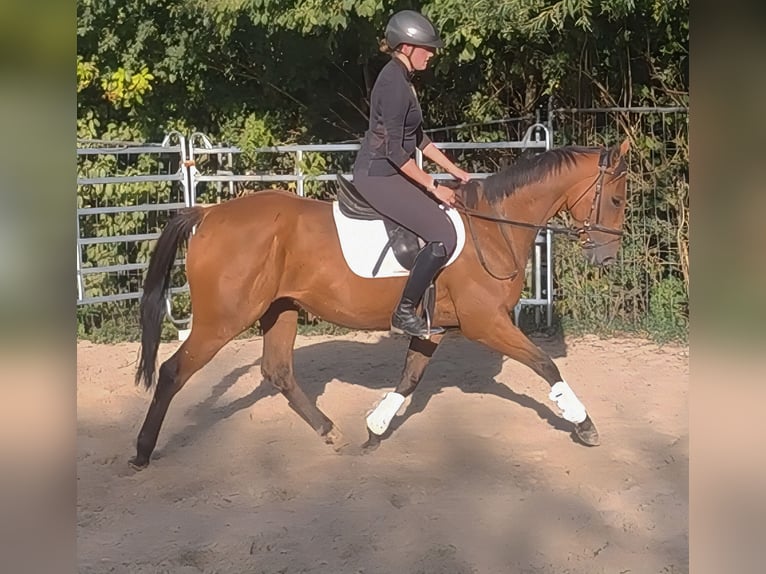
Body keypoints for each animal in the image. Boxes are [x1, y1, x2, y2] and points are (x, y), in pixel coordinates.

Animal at [129, 139, 630, 469]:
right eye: (617, 198)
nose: (607, 257)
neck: (493, 228)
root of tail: (208, 214)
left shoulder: (435, 328)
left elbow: (409, 378)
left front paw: (374, 429)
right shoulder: (485, 323)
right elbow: (545, 364)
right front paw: (584, 425)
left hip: (280, 309)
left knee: (278, 372)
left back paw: (331, 431)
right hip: (224, 319)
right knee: (173, 371)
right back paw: (142, 451)